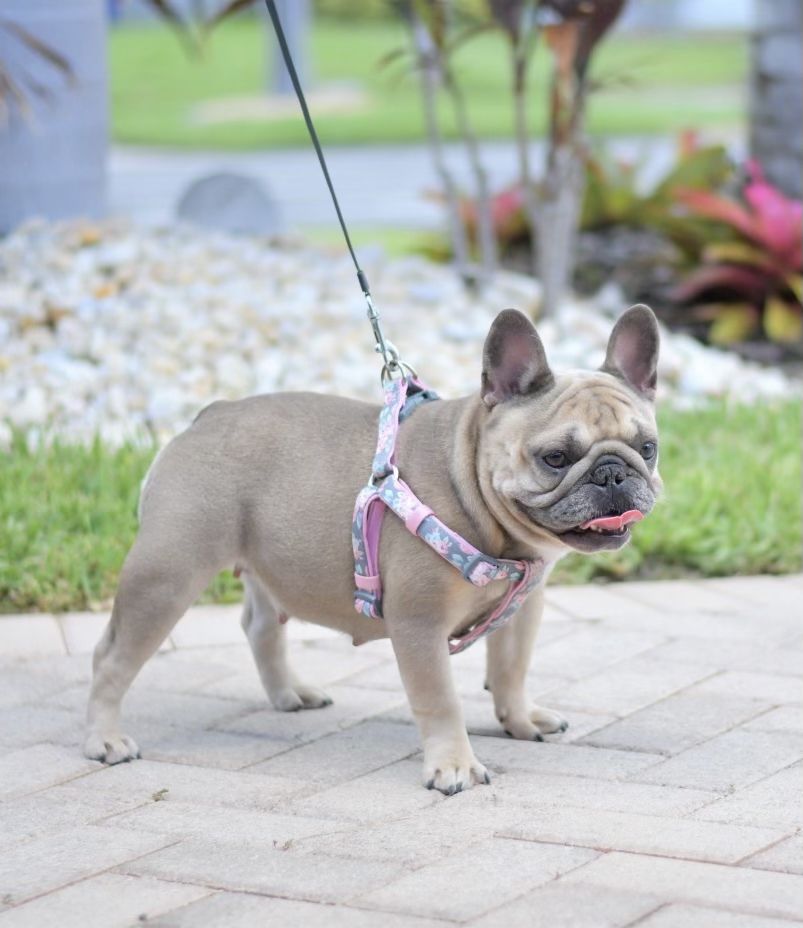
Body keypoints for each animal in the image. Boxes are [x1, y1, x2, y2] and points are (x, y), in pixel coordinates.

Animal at [85, 302, 664, 792]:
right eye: (555, 458)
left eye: (648, 447)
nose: (613, 474)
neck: (473, 491)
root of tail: (207, 415)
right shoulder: (419, 624)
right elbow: (440, 700)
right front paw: (453, 766)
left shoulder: (523, 610)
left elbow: (511, 671)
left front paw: (521, 720)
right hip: (169, 572)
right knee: (112, 656)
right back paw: (104, 740)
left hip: (267, 560)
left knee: (260, 626)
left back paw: (290, 693)